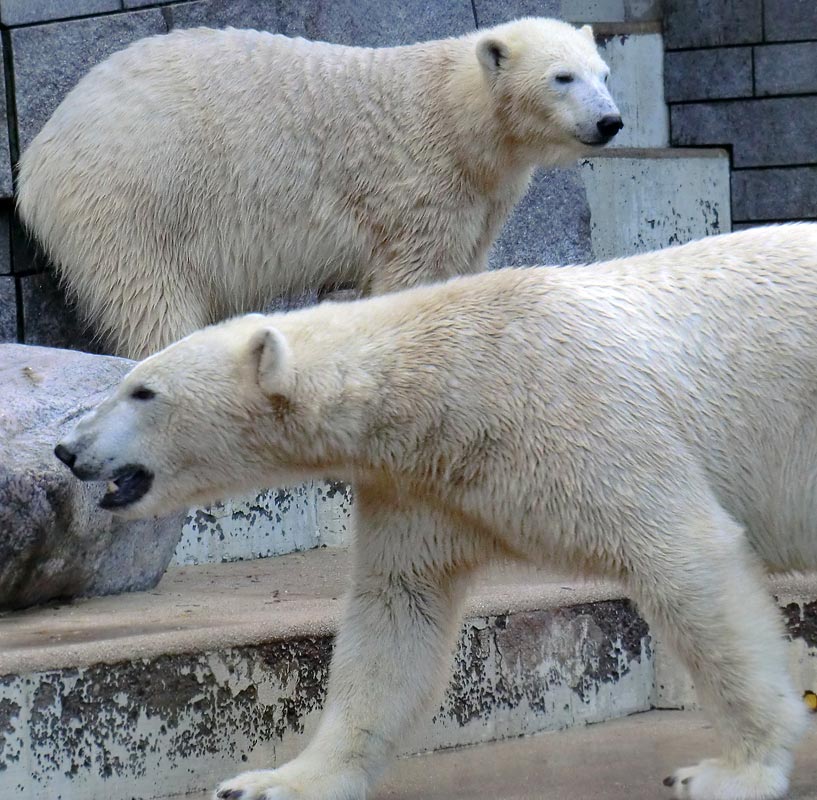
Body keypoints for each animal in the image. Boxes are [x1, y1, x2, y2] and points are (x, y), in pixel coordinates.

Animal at [17, 16, 620, 360]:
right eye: (562, 77)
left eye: (604, 73)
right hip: (134, 191)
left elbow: (460, 267)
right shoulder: (419, 184)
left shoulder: (479, 196)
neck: (455, 114)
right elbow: (414, 275)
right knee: (147, 291)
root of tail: (37, 156)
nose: (610, 121)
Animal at [54, 225, 812, 800]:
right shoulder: (421, 485)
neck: (450, 377)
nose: (68, 448)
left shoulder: (579, 414)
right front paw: (272, 781)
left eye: (142, 391)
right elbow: (396, 612)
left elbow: (684, 555)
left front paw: (730, 772)